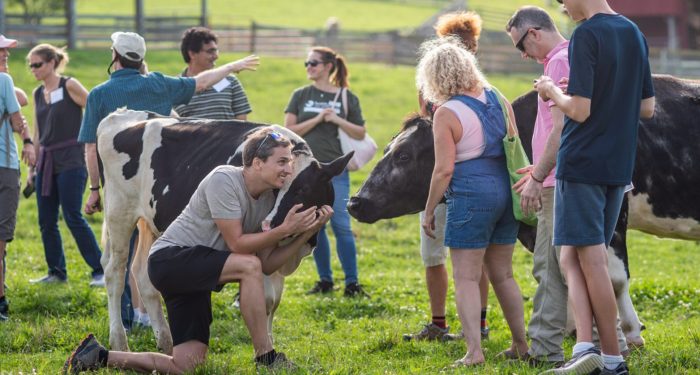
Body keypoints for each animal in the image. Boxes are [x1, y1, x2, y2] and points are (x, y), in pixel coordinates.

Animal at [95, 108, 352, 352]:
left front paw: (270, 341)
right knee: (115, 273)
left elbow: (275, 301)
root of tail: (123, 114)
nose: (269, 225)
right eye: (276, 189)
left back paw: (166, 343)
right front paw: (266, 347)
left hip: (150, 222)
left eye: (303, 188)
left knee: (142, 274)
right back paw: (120, 342)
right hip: (119, 211)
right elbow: (267, 299)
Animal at [348, 75, 700, 352]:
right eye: (387, 149)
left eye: (404, 155)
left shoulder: (613, 216)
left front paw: (629, 333)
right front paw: (575, 329)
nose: (355, 201)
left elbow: (613, 279)